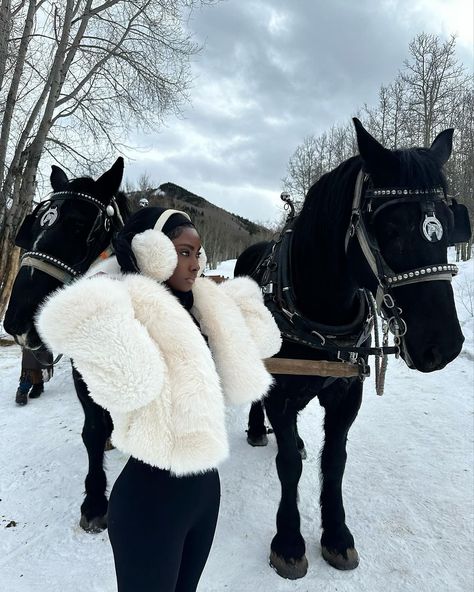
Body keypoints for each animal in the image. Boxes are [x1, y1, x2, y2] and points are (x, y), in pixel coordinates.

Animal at [4, 157, 130, 532]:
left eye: (77, 225)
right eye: (32, 226)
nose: (17, 323)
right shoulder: (81, 368)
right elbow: (92, 429)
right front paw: (94, 500)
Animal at [235, 118, 472, 580]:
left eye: (449, 225)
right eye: (391, 229)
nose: (446, 345)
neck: (321, 309)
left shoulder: (347, 394)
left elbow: (334, 461)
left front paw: (337, 534)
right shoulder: (281, 389)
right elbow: (288, 466)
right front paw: (288, 541)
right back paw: (257, 429)